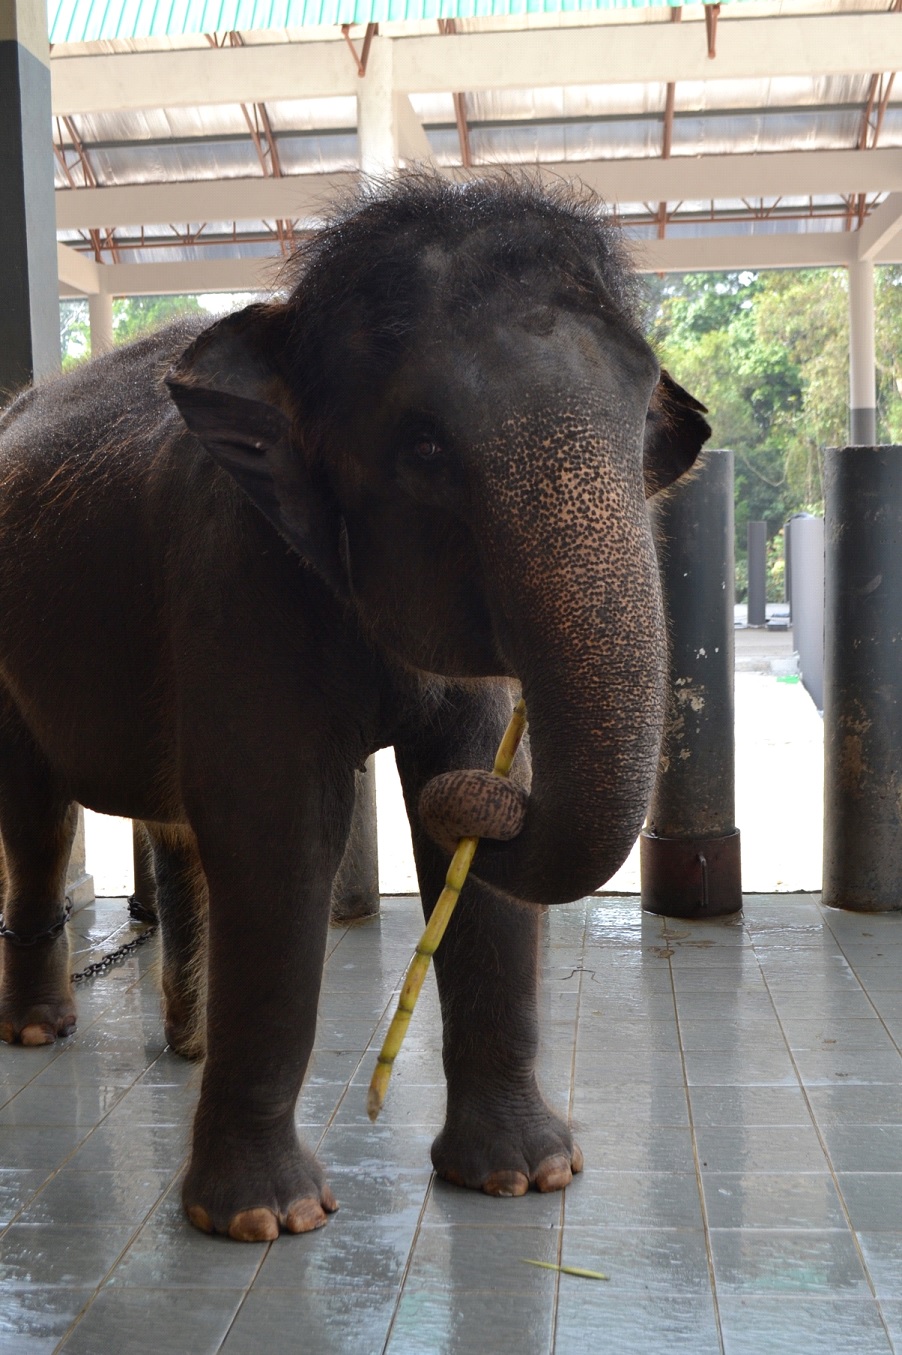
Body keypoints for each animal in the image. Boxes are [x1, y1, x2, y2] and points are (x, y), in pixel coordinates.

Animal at [0, 174, 709, 1242]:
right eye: (423, 444)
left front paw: (528, 1176)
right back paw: (43, 1032)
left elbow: (458, 796)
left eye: (641, 432)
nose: (488, 800)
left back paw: (186, 1047)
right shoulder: (235, 566)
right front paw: (264, 1219)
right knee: (38, 818)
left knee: (170, 825)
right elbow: (281, 826)